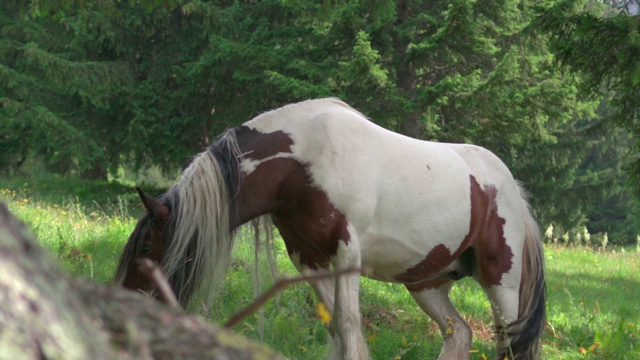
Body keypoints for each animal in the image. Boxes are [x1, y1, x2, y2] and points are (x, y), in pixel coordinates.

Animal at [115, 98, 544, 360]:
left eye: (147, 246)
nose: (122, 304)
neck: (302, 160)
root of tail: (513, 190)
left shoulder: (347, 254)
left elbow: (350, 324)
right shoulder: (309, 260)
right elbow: (335, 325)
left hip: (501, 285)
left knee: (509, 341)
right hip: (427, 284)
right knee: (459, 333)